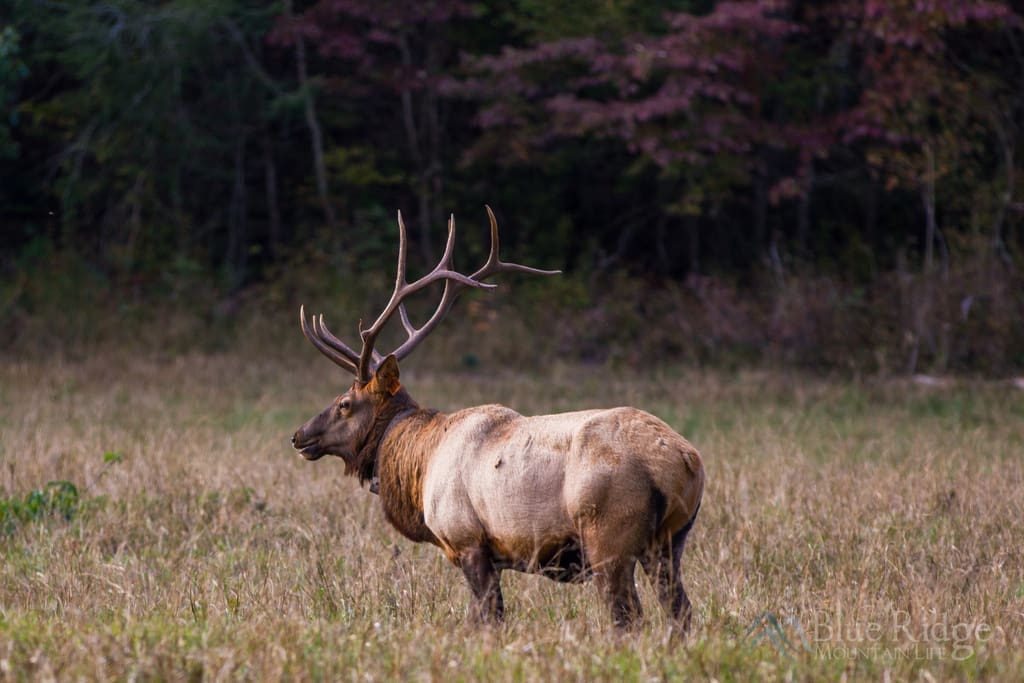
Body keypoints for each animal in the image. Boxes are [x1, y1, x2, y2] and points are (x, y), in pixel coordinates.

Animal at [291, 207, 705, 631]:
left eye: (344, 403)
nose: (299, 435)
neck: (418, 462)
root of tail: (683, 461)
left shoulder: (468, 540)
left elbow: (486, 617)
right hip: (670, 541)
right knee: (681, 612)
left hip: (608, 536)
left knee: (629, 617)